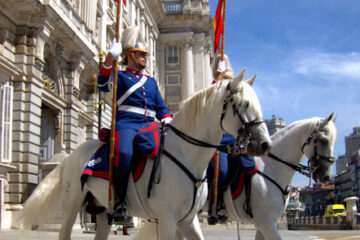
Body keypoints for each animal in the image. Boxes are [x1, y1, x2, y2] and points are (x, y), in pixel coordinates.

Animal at [19, 69, 270, 240]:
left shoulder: (188, 220)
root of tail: (73, 154)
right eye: (244, 104)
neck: (188, 155)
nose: (264, 144)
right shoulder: (167, 219)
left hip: (103, 211)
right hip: (73, 205)